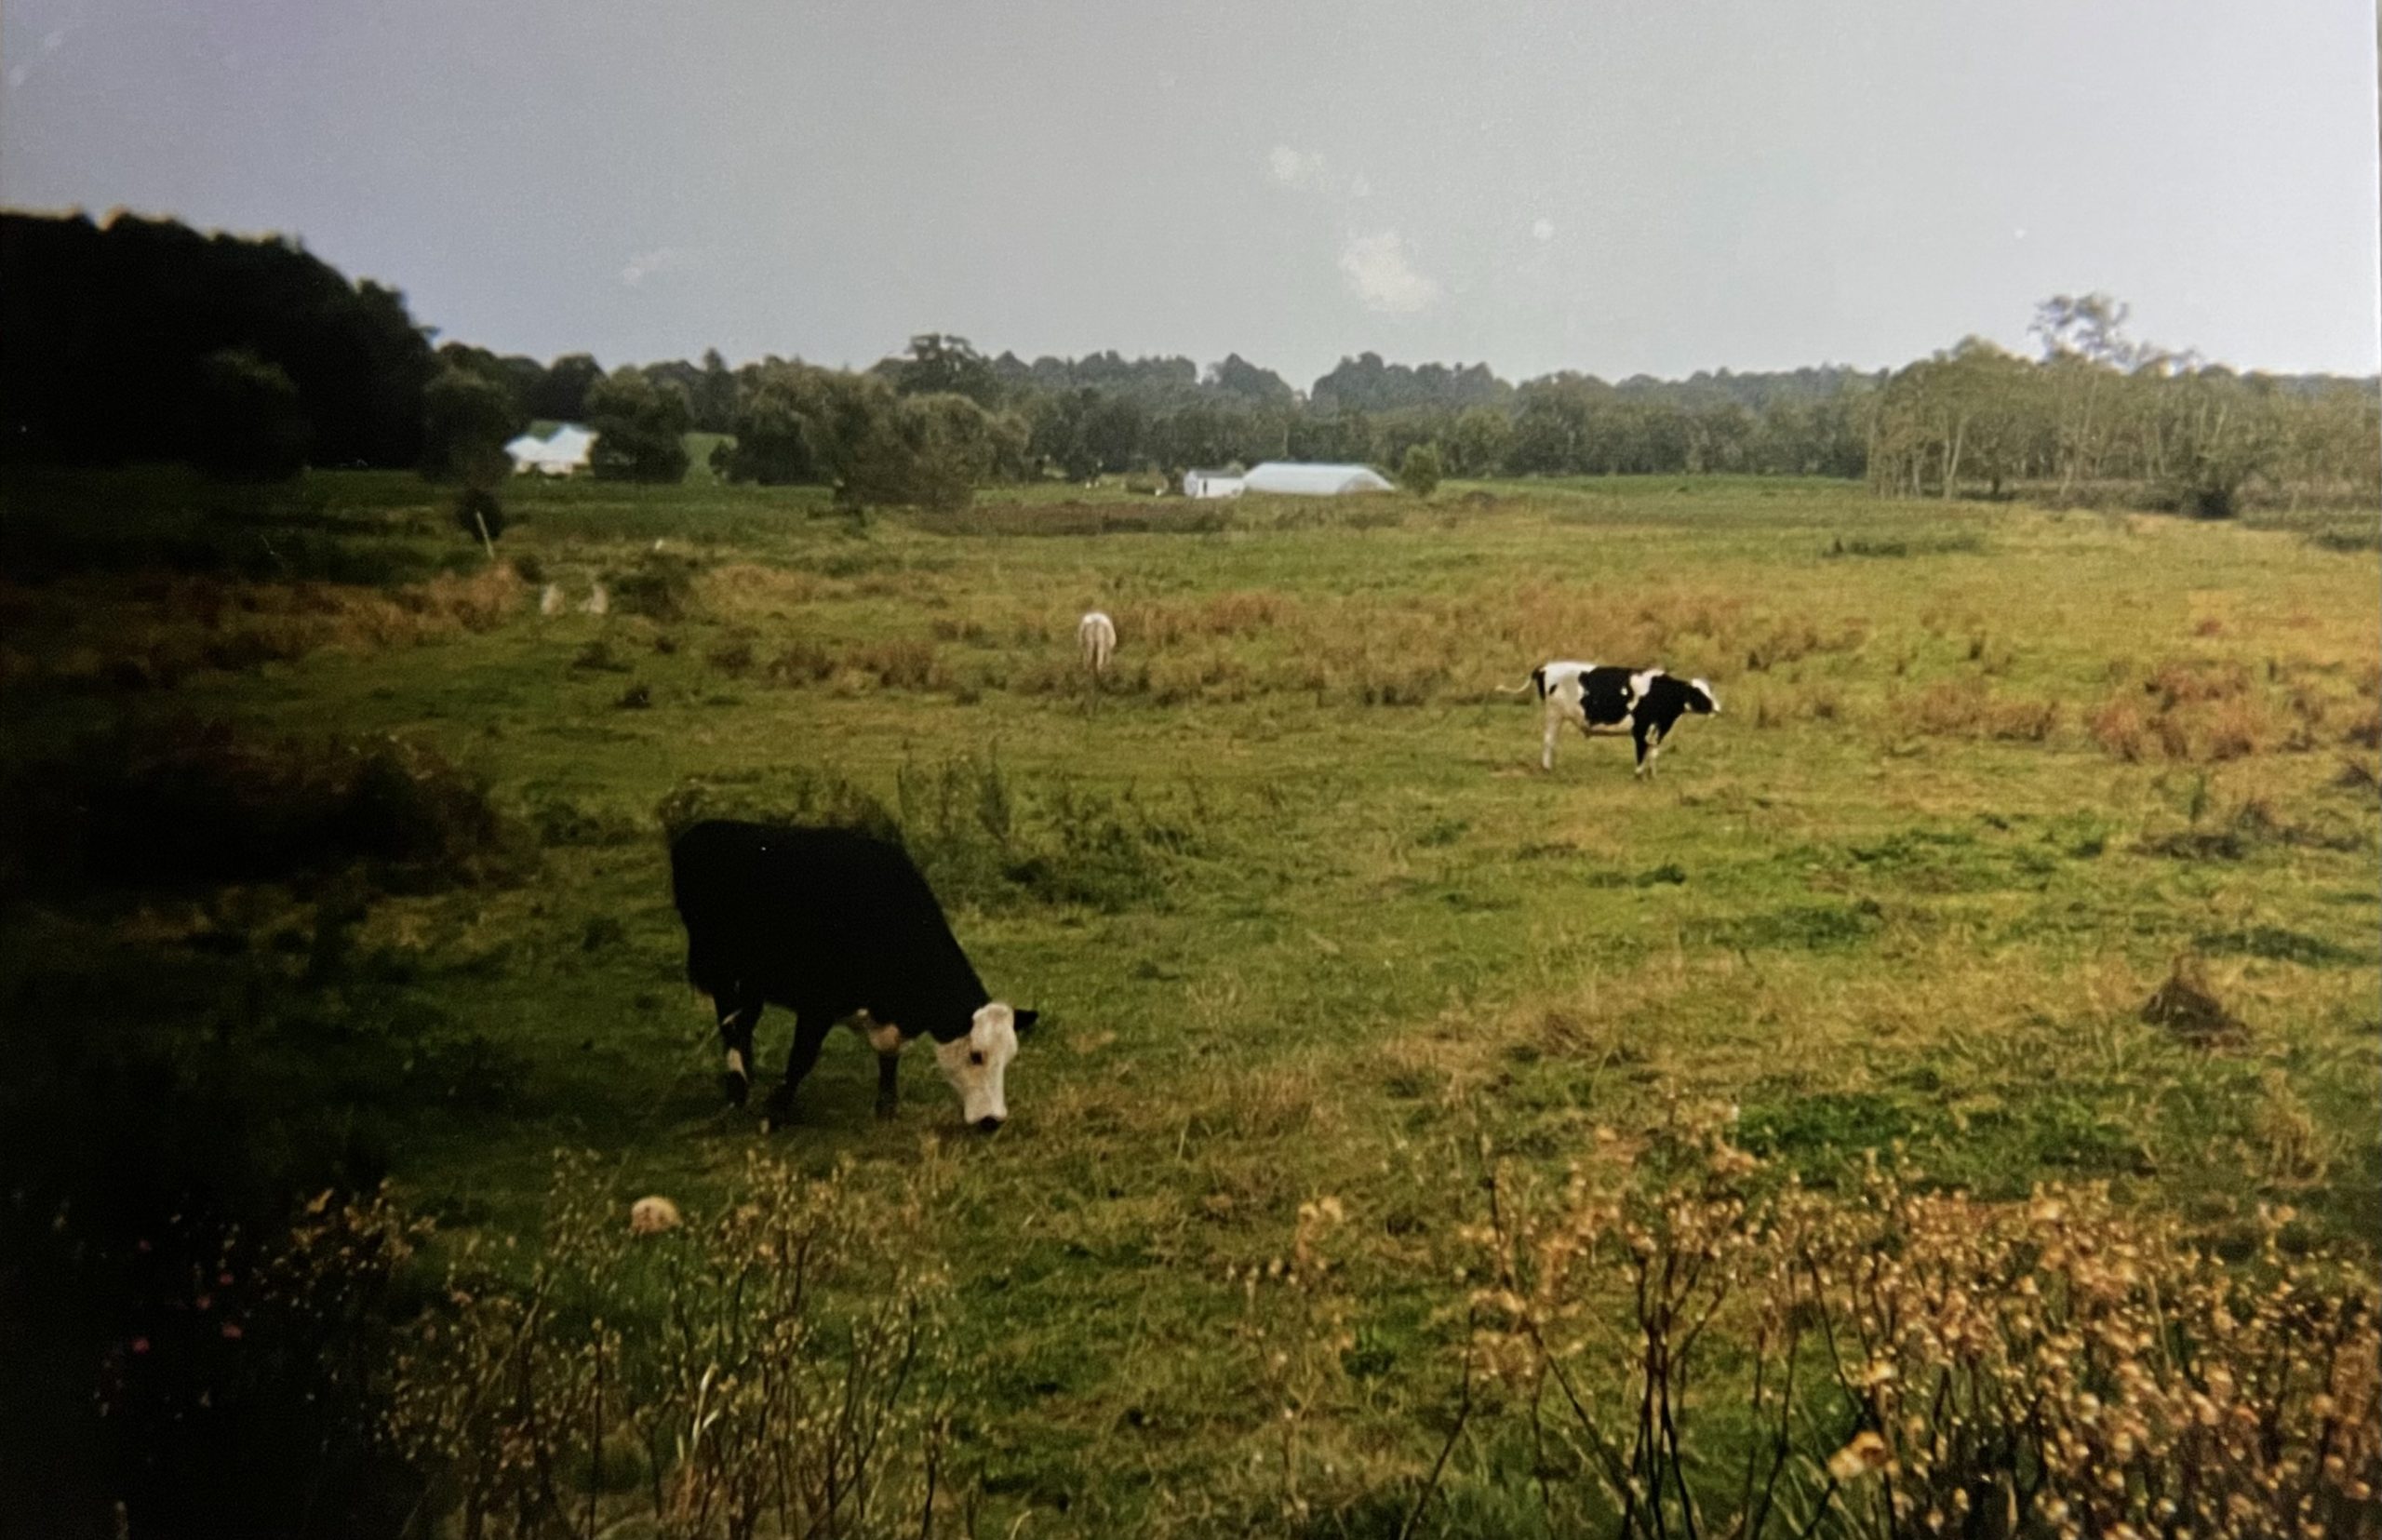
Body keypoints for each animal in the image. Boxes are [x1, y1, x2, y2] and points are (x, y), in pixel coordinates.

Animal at [669, 821, 1038, 1132]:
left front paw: (886, 1108)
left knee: (745, 1022)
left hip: (753, 978)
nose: (993, 1121)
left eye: (1010, 1057)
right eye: (976, 1055)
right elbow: (801, 1057)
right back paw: (737, 1088)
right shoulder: (817, 1003)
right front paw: (775, 1111)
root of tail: (700, 829)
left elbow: (889, 1056)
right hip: (719, 967)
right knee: (729, 1022)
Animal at [1511, 662, 1719, 777]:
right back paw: (1547, 769)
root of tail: (1545, 667)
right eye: (1698, 693)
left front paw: (1652, 775)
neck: (1658, 691)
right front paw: (1638, 775)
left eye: (1709, 691)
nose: (1717, 708)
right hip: (1554, 714)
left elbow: (1653, 752)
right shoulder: (1640, 729)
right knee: (1548, 741)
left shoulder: (1659, 728)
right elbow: (1641, 751)